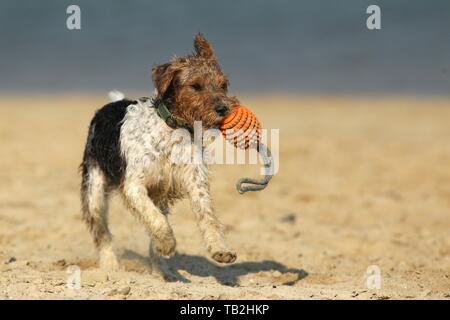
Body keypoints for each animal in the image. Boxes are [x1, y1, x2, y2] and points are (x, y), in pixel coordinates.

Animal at [80, 34, 239, 276]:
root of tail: (110, 105)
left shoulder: (195, 182)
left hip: (158, 195)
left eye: (223, 84)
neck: (172, 128)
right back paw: (110, 266)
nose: (224, 109)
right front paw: (166, 243)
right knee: (101, 232)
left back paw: (160, 271)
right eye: (196, 85)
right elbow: (156, 220)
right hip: (95, 190)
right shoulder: (134, 185)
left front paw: (221, 250)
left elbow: (208, 217)